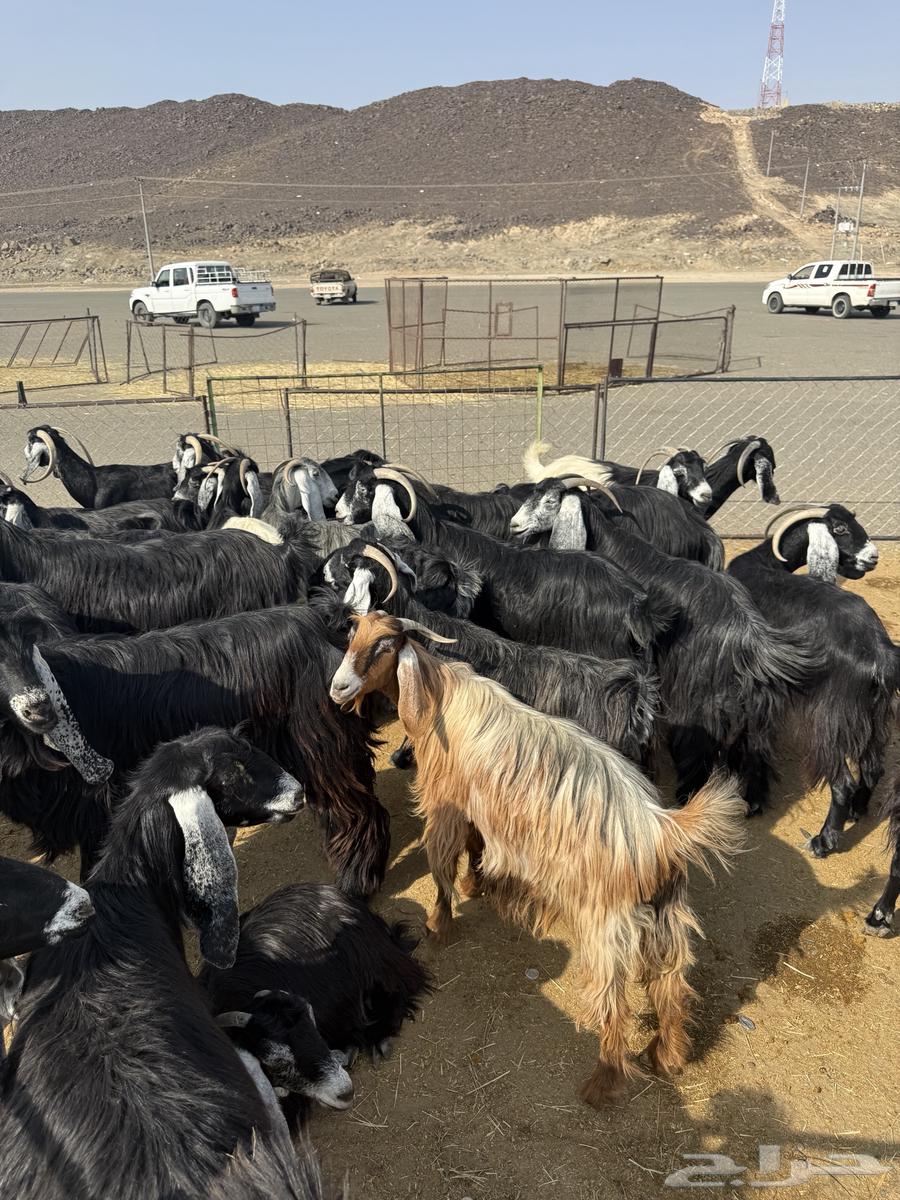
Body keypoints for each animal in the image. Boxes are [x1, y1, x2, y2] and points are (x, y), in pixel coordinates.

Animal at [0, 596, 384, 894]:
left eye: (25, 649)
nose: (39, 708)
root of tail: (324, 621)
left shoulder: (100, 808)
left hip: (324, 748)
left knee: (355, 808)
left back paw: (357, 881)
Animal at [202, 882, 431, 1120]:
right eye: (275, 1060)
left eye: (314, 1030)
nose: (345, 1093)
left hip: (380, 965)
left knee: (405, 984)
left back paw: (378, 1040)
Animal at [330, 613, 744, 1105]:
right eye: (352, 634)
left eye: (385, 645)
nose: (337, 688)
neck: (440, 700)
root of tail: (662, 831)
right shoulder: (478, 808)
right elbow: (476, 847)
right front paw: (476, 885)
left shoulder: (446, 806)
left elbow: (442, 866)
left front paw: (439, 925)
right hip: (666, 915)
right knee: (670, 986)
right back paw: (668, 1055)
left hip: (607, 923)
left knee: (616, 1002)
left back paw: (603, 1083)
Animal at [510, 478, 821, 804]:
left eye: (550, 502)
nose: (514, 525)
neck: (608, 543)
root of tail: (752, 638)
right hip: (755, 703)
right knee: (757, 745)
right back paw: (753, 800)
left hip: (699, 692)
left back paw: (688, 792)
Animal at [728, 505, 898, 873]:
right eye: (840, 528)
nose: (873, 557)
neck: (762, 564)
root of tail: (879, 652)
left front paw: (753, 798)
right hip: (873, 713)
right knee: (873, 766)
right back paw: (858, 810)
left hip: (830, 718)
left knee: (843, 783)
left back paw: (824, 841)